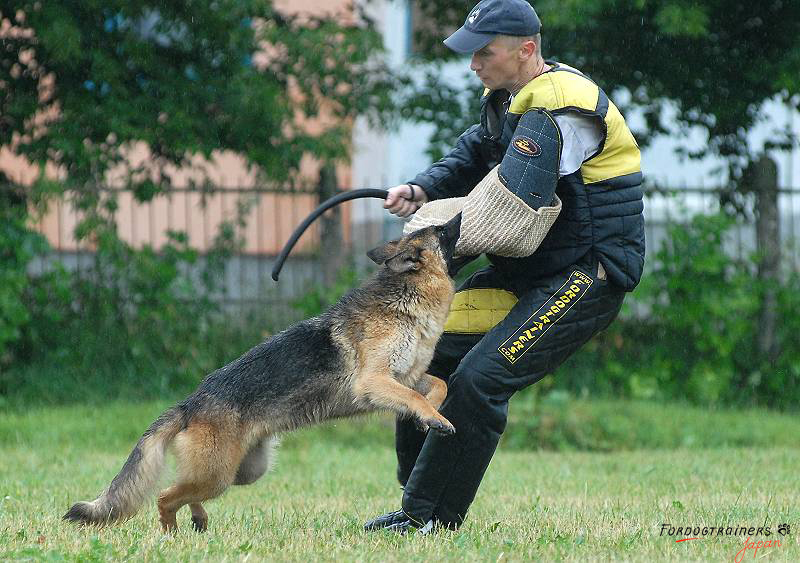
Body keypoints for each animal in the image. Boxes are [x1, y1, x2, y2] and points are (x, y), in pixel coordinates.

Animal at [64, 217, 462, 532]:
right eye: (443, 230)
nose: (461, 212)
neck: (405, 299)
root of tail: (190, 404)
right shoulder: (375, 382)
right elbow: (413, 396)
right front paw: (434, 418)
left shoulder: (406, 376)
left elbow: (437, 385)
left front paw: (430, 417)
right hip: (218, 474)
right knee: (164, 496)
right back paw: (170, 534)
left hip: (242, 472)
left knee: (183, 490)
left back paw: (197, 520)